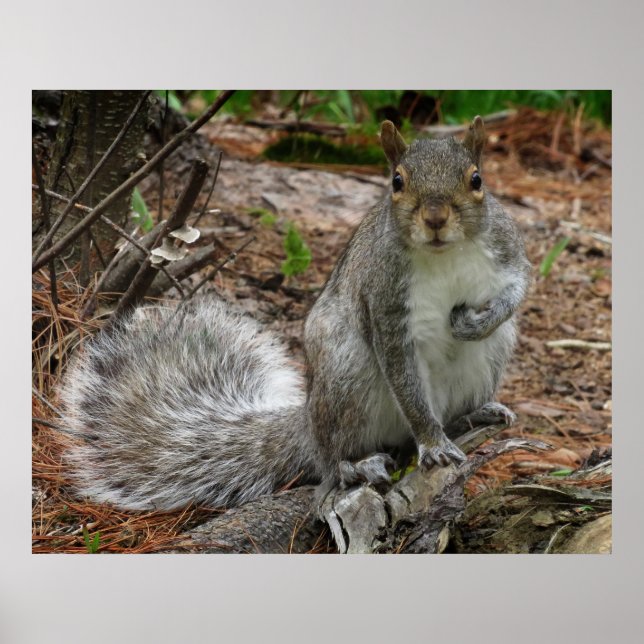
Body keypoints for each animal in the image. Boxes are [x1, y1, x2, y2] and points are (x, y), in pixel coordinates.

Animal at [60, 117, 531, 511]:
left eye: (477, 179)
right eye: (397, 181)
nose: (435, 218)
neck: (444, 253)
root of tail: (307, 419)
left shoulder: (507, 251)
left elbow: (518, 289)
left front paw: (479, 321)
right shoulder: (384, 300)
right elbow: (404, 377)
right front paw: (432, 444)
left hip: (490, 357)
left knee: (459, 400)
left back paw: (474, 413)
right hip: (346, 377)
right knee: (331, 459)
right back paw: (356, 464)